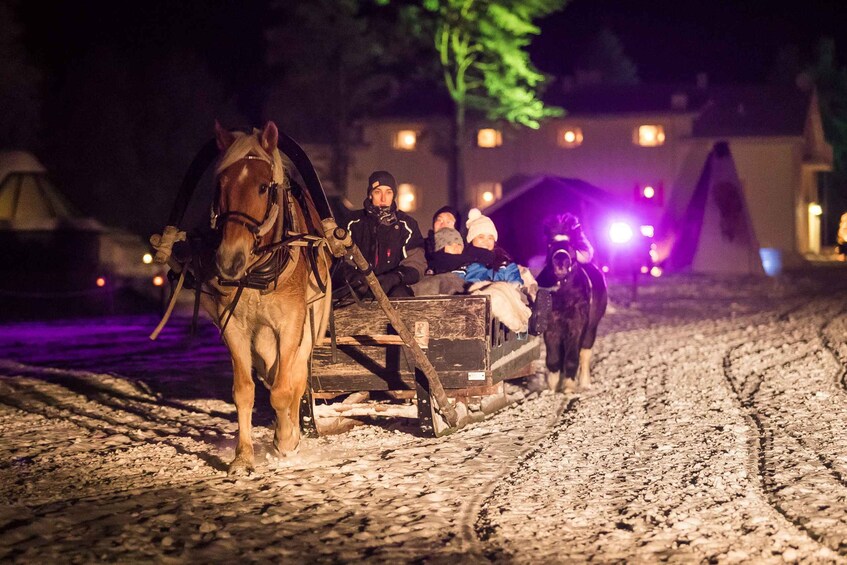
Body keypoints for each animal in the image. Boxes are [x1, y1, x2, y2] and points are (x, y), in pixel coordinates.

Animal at [205, 121, 332, 474]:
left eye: (263, 187)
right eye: (221, 184)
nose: (229, 260)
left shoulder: (290, 325)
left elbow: (283, 392)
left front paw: (287, 439)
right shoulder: (233, 325)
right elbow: (244, 391)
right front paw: (242, 456)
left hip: (309, 328)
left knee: (296, 380)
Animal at [540, 214, 608, 390]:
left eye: (570, 245)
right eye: (549, 244)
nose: (560, 260)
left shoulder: (577, 328)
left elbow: (572, 358)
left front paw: (569, 386)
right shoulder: (551, 329)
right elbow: (553, 358)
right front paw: (552, 386)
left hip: (590, 331)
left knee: (584, 355)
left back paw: (584, 383)